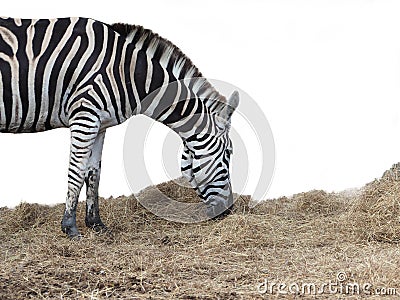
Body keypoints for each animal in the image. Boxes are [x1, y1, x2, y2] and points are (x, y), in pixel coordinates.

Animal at [0, 17, 239, 238]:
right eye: (228, 154)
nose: (228, 210)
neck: (128, 72)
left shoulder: (99, 124)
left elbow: (94, 173)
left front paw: (96, 224)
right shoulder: (85, 115)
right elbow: (77, 171)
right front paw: (70, 227)